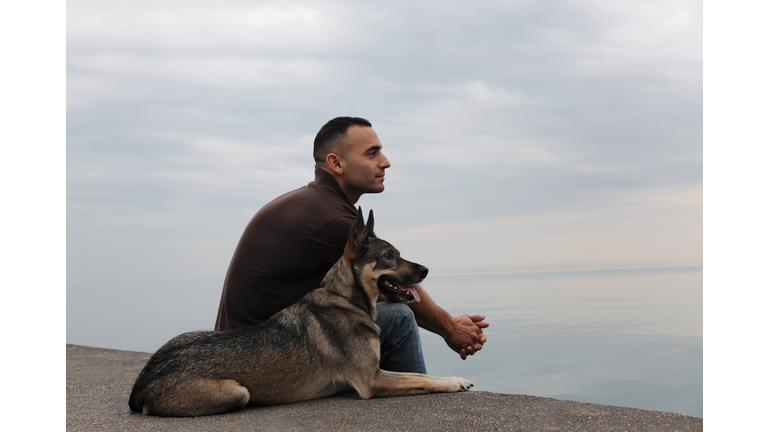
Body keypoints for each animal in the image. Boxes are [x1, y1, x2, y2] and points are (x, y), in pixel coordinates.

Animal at [129, 208, 472, 416]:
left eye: (398, 253)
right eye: (389, 256)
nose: (426, 270)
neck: (345, 298)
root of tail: (141, 384)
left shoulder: (376, 372)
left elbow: (420, 374)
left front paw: (456, 378)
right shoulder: (372, 380)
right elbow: (423, 380)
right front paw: (452, 383)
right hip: (238, 391)